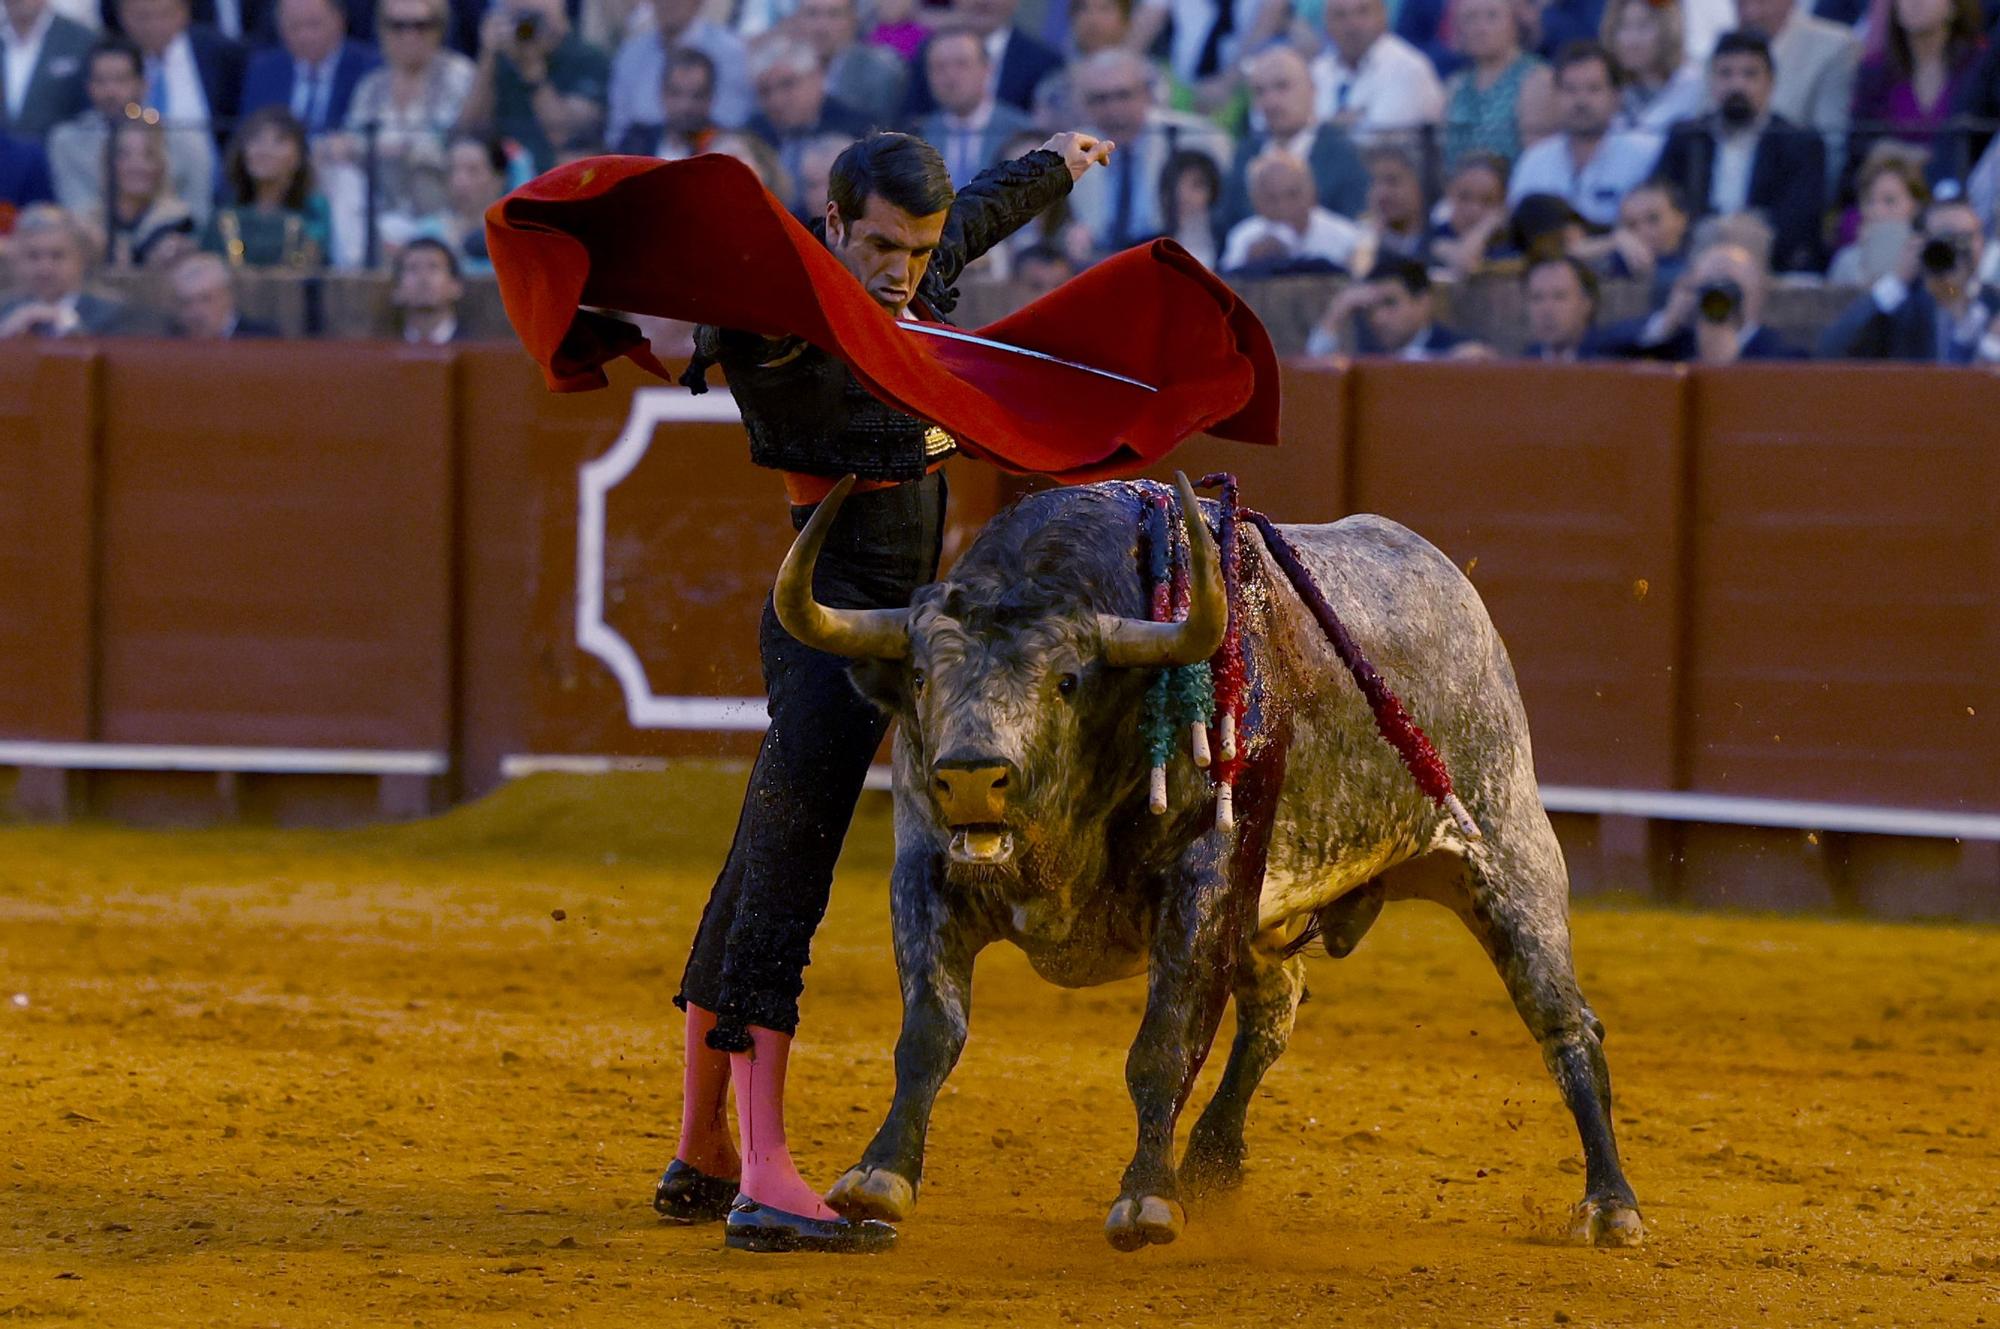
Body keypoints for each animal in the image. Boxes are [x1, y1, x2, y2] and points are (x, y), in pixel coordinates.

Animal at [764, 472, 1640, 1248]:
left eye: (1068, 679)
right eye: (920, 675)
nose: (974, 775)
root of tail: (1455, 589)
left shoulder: (1206, 883)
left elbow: (1163, 1044)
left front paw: (1147, 1198)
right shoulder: (924, 870)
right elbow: (929, 1031)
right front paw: (878, 1175)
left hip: (1505, 852)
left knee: (1564, 1020)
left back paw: (1610, 1205)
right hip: (1270, 912)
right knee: (1274, 1012)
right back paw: (1214, 1161)